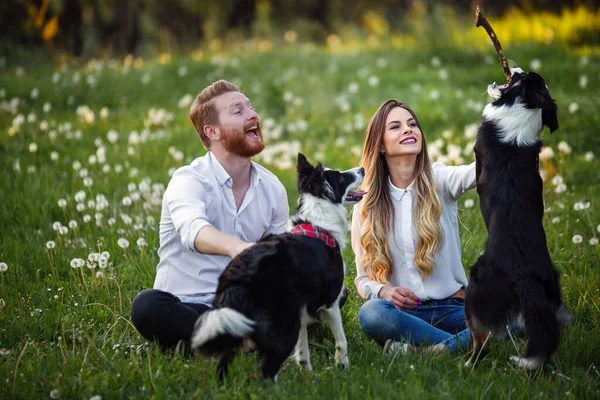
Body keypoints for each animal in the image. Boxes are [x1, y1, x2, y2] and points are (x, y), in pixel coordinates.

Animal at [190, 153, 366, 382]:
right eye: (341, 177)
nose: (362, 169)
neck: (318, 223)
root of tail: (239, 277)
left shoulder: (302, 312)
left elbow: (303, 352)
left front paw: (309, 378)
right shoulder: (330, 302)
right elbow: (341, 342)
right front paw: (343, 369)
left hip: (238, 323)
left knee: (223, 363)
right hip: (284, 324)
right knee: (267, 370)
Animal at [464, 68, 572, 368]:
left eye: (522, 76)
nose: (515, 69)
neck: (524, 108)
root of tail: (525, 276)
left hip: (475, 287)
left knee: (481, 341)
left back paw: (469, 364)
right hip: (550, 293)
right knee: (547, 342)